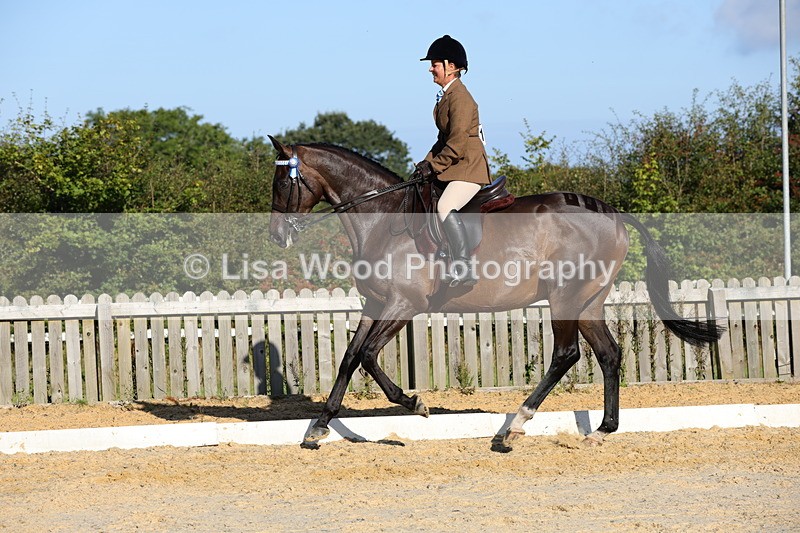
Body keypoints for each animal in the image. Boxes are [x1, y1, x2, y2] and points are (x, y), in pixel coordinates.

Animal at [266, 136, 723, 449]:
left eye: (281, 183)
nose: (276, 236)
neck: (382, 218)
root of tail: (610, 212)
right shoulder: (376, 304)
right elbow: (348, 357)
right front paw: (318, 427)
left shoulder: (403, 304)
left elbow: (366, 356)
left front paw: (415, 404)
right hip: (588, 302)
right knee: (609, 354)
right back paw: (601, 431)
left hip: (565, 298)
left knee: (566, 354)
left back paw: (513, 428)